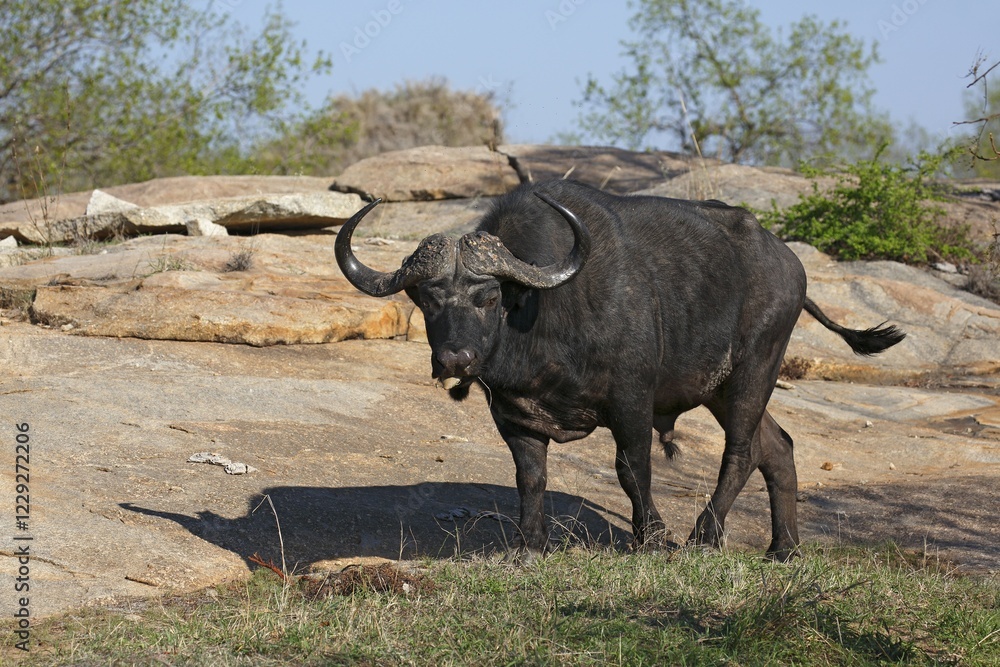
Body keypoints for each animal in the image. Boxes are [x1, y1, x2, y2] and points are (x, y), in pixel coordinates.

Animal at [336, 180, 904, 561]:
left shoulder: (632, 401)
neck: (543, 313)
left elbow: (632, 470)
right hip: (720, 388)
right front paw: (529, 545)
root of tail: (791, 266)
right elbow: (530, 478)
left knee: (742, 452)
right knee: (779, 447)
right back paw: (783, 548)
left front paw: (652, 538)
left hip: (754, 370)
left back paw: (704, 536)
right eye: (428, 300)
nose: (455, 359)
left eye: (489, 296)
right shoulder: (513, 417)